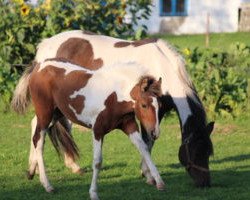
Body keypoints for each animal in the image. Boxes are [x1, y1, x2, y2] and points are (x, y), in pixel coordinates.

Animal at [11, 58, 164, 199]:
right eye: (144, 105)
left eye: (160, 106)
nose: (154, 133)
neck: (114, 96)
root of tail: (38, 66)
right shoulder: (97, 131)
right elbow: (97, 161)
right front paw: (93, 193)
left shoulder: (129, 125)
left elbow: (144, 149)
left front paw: (159, 182)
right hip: (45, 114)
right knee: (39, 141)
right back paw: (47, 185)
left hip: (56, 114)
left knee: (35, 135)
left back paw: (31, 172)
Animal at [16, 30, 215, 188]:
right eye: (196, 152)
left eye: (209, 153)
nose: (205, 183)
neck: (160, 64)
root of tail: (44, 46)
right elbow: (146, 141)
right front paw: (148, 175)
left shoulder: (158, 112)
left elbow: (148, 141)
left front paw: (148, 173)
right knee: (38, 127)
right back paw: (41, 169)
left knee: (41, 127)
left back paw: (38, 169)